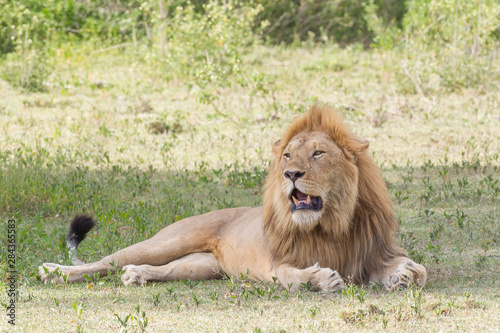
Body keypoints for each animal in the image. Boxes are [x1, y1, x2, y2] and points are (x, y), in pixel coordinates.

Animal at [41, 105, 428, 290]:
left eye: (318, 153)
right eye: (288, 156)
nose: (291, 175)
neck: (330, 224)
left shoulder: (372, 252)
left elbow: (418, 270)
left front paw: (404, 274)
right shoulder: (277, 262)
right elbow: (291, 276)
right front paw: (321, 279)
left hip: (202, 266)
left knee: (159, 269)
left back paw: (136, 276)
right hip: (168, 241)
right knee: (105, 261)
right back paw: (53, 272)